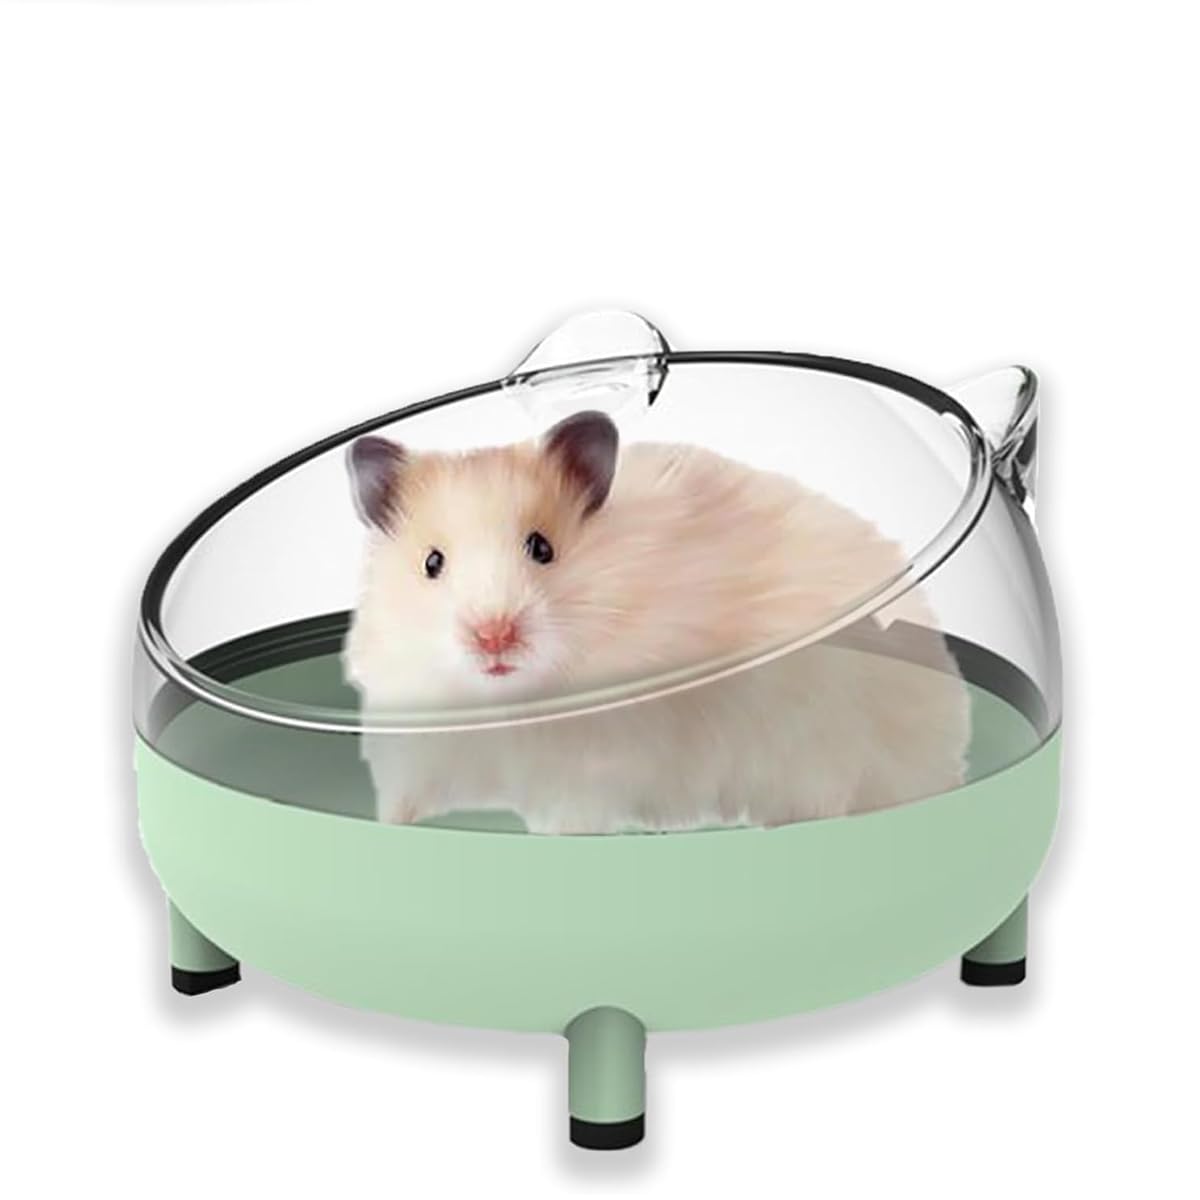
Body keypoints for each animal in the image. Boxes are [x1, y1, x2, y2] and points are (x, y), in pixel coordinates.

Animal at [344, 410, 970, 834]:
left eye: (542, 548)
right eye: (432, 563)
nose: (492, 636)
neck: (506, 704)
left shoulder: (591, 768)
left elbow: (570, 815)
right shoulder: (414, 746)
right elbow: (402, 800)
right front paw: (388, 829)